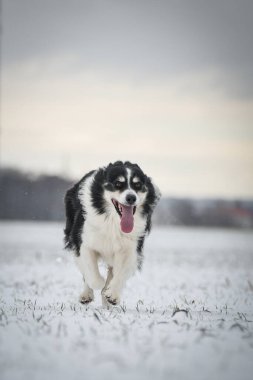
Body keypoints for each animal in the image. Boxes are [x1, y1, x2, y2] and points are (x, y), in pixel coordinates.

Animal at [63, 160, 160, 306]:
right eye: (118, 184)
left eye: (137, 185)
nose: (131, 198)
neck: (113, 221)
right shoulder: (83, 242)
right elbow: (91, 273)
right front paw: (100, 284)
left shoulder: (130, 248)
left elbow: (120, 273)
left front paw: (112, 294)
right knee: (86, 272)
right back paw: (87, 294)